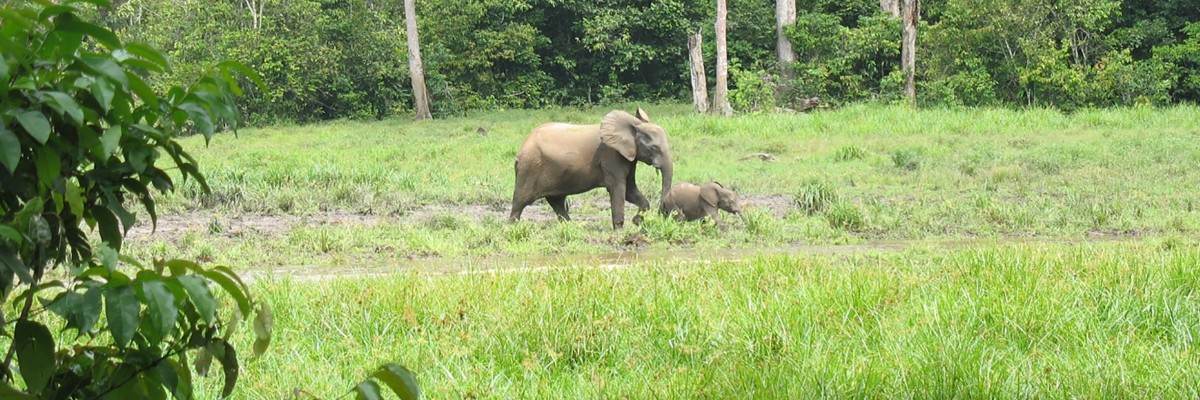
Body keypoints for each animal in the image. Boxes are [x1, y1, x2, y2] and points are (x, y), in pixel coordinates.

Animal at [508, 107, 672, 229]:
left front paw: (637, 221)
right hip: (530, 167)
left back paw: (571, 227)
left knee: (557, 201)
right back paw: (512, 228)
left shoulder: (628, 157)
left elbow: (630, 190)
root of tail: (522, 147)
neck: (633, 126)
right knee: (520, 201)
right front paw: (620, 231)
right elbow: (619, 188)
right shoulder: (611, 156)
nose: (662, 214)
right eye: (654, 147)